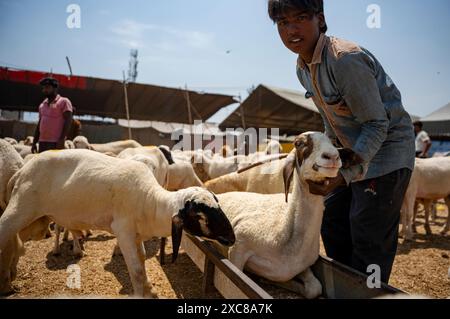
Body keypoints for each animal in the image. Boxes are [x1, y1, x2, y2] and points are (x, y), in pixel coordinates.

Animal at [0, 150, 236, 298]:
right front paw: (142, 294)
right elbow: (136, 270)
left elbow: (142, 261)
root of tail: (21, 171)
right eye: (200, 216)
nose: (232, 238)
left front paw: (150, 290)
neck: (151, 202)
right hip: (20, 209)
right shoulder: (123, 232)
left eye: (218, 203)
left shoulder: (137, 235)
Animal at [215, 132, 348, 300]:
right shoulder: (238, 248)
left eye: (334, 142)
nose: (332, 156)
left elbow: (315, 288)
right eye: (299, 143)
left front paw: (276, 281)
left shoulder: (301, 267)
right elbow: (234, 278)